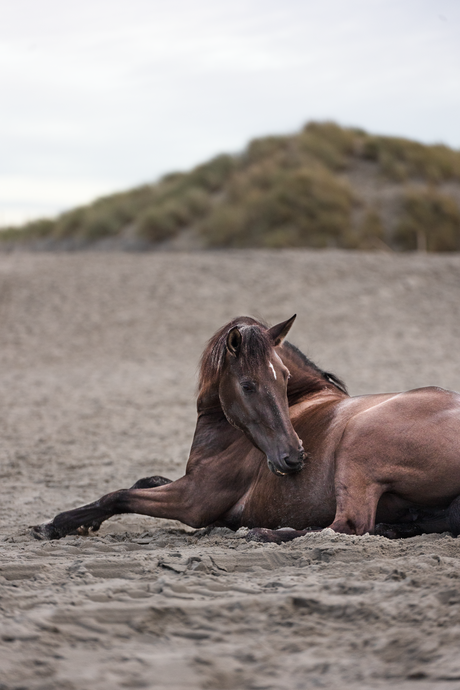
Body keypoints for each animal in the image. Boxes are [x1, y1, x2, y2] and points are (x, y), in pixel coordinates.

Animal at [33, 314, 460, 544]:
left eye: (284, 378)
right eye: (248, 385)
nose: (293, 457)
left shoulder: (193, 501)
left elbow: (117, 495)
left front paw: (57, 524)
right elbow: (142, 481)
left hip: (357, 445)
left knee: (347, 526)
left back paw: (264, 533)